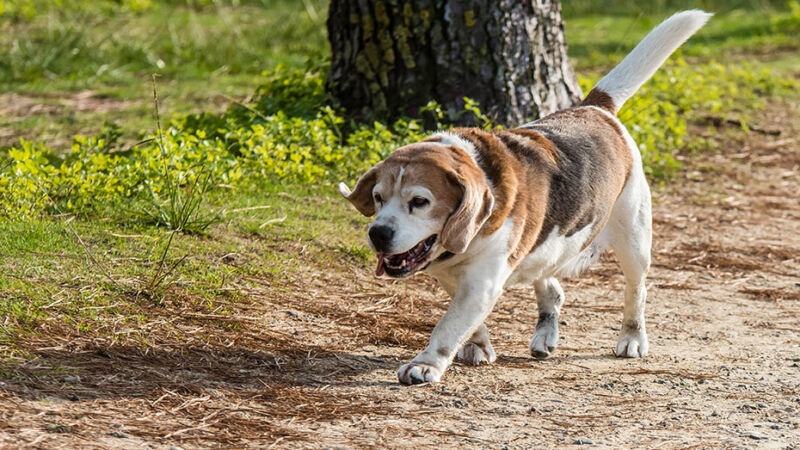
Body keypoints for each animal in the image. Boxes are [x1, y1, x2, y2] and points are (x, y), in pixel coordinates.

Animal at [340, 10, 712, 384]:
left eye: (419, 202)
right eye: (378, 198)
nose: (378, 233)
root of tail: (595, 108)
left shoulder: (482, 281)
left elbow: (447, 326)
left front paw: (427, 364)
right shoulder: (454, 277)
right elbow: (466, 321)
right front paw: (477, 345)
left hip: (634, 241)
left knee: (636, 292)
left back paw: (632, 338)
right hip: (550, 247)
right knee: (553, 290)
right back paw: (545, 334)